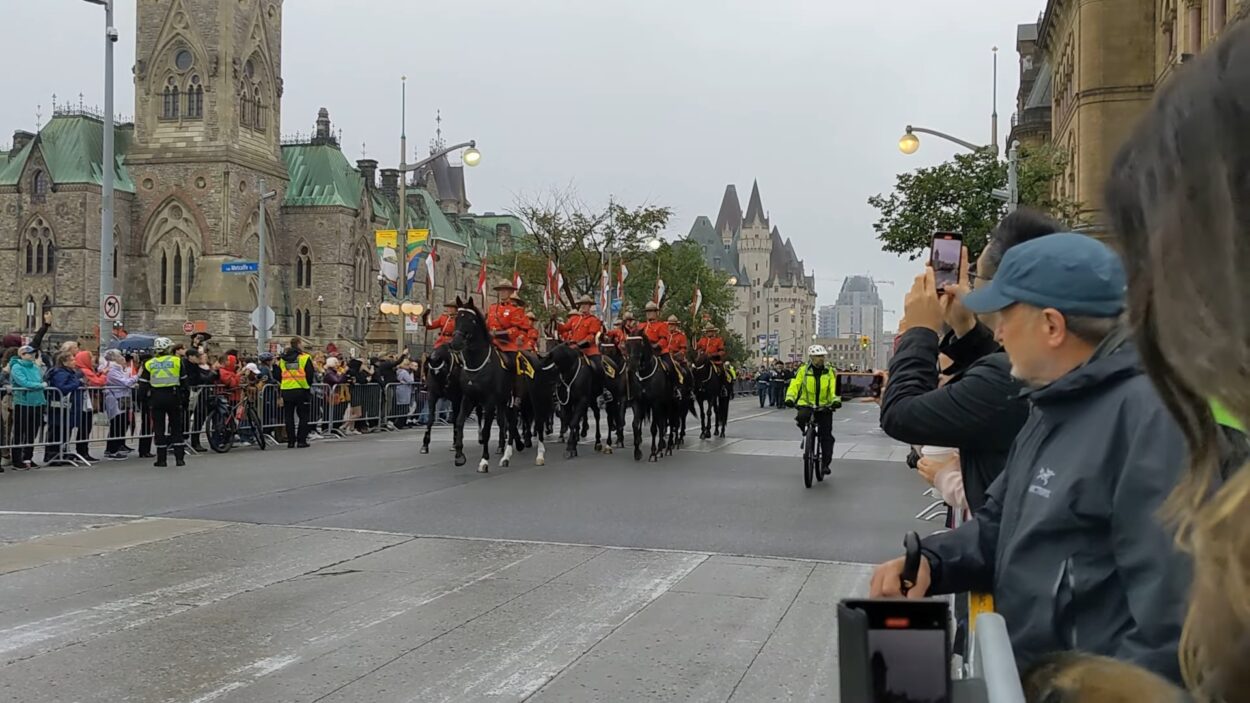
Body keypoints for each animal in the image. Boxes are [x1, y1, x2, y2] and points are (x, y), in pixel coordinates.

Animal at [450, 295, 517, 470]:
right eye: (456, 318)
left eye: (471, 320)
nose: (456, 343)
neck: (477, 364)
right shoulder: (469, 398)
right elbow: (459, 422)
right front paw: (459, 455)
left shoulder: (489, 401)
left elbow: (486, 431)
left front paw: (484, 460)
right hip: (502, 401)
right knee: (503, 422)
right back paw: (502, 447)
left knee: (512, 423)